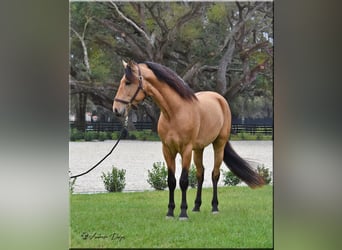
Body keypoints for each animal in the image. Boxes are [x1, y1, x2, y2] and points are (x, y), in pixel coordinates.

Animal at [113, 60, 264, 219]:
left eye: (128, 82)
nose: (116, 109)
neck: (175, 113)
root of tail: (220, 99)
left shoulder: (186, 150)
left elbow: (184, 181)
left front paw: (183, 213)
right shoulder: (167, 150)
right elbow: (171, 181)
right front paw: (170, 212)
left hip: (218, 145)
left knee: (215, 174)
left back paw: (214, 207)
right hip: (198, 149)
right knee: (200, 174)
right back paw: (196, 207)